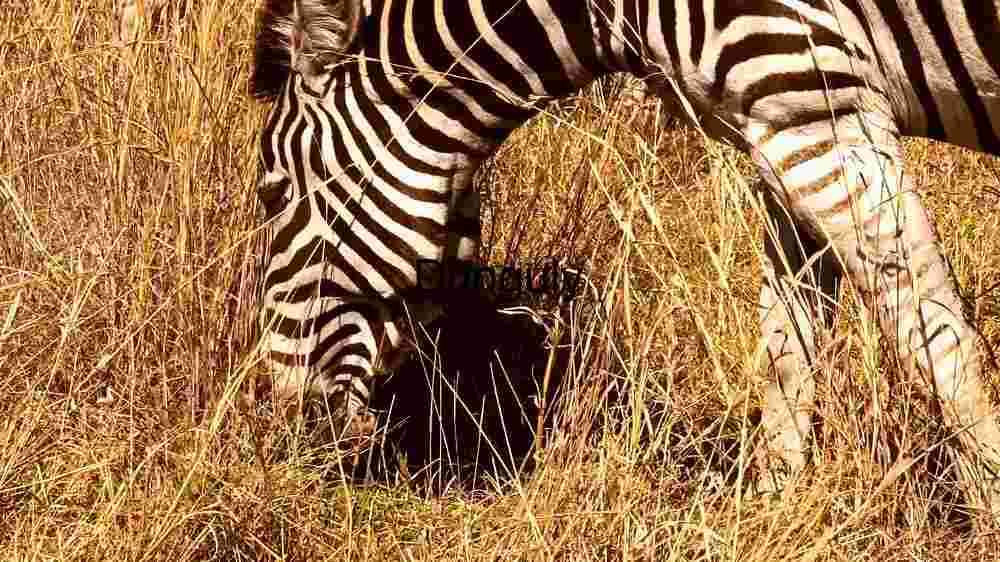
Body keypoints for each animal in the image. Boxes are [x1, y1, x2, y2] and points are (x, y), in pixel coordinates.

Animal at [249, 0, 1000, 513]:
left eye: (271, 194)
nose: (285, 420)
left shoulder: (818, 113)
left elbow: (940, 347)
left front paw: (989, 506)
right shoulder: (784, 129)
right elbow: (788, 345)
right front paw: (775, 504)